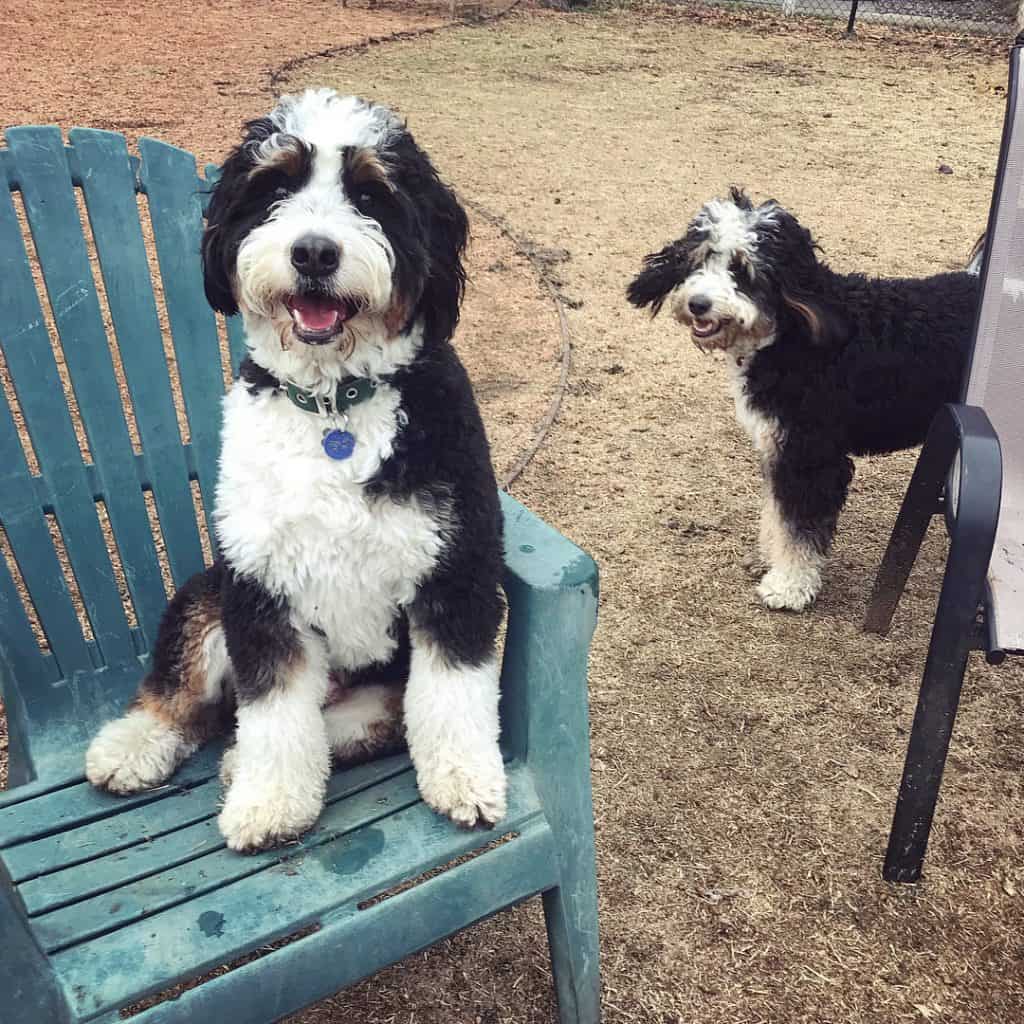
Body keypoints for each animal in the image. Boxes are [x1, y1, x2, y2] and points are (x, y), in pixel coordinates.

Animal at [83, 92, 507, 851]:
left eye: (371, 195)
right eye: (275, 186)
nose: (313, 252)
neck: (335, 404)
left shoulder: (456, 571)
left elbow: (455, 697)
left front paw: (465, 780)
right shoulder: (259, 588)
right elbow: (275, 715)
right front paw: (270, 803)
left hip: (375, 685)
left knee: (356, 723)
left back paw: (235, 762)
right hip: (209, 593)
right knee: (189, 697)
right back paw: (135, 747)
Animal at [626, 189, 978, 610]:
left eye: (743, 270)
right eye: (701, 257)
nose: (698, 304)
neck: (790, 335)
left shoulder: (810, 456)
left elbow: (799, 529)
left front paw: (789, 585)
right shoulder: (777, 449)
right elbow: (778, 515)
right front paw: (771, 556)